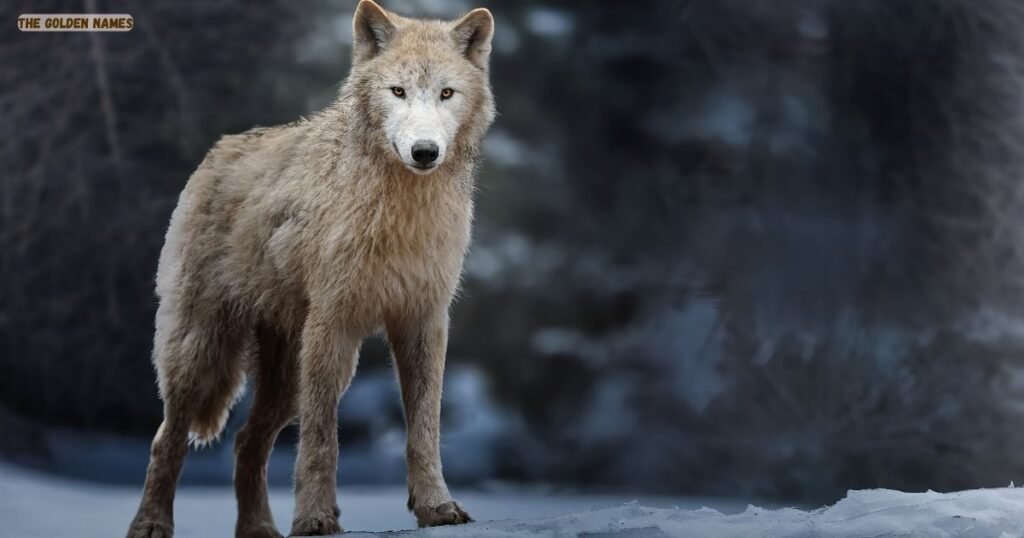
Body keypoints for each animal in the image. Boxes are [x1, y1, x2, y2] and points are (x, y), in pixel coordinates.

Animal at [125, 1, 495, 536]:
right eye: (398, 92)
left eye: (447, 93)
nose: (425, 151)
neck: (400, 215)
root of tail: (216, 152)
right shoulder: (332, 322)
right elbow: (323, 438)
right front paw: (316, 518)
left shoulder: (423, 320)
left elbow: (424, 429)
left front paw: (436, 508)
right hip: (204, 354)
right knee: (165, 439)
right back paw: (150, 524)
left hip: (288, 377)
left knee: (246, 441)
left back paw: (258, 529)